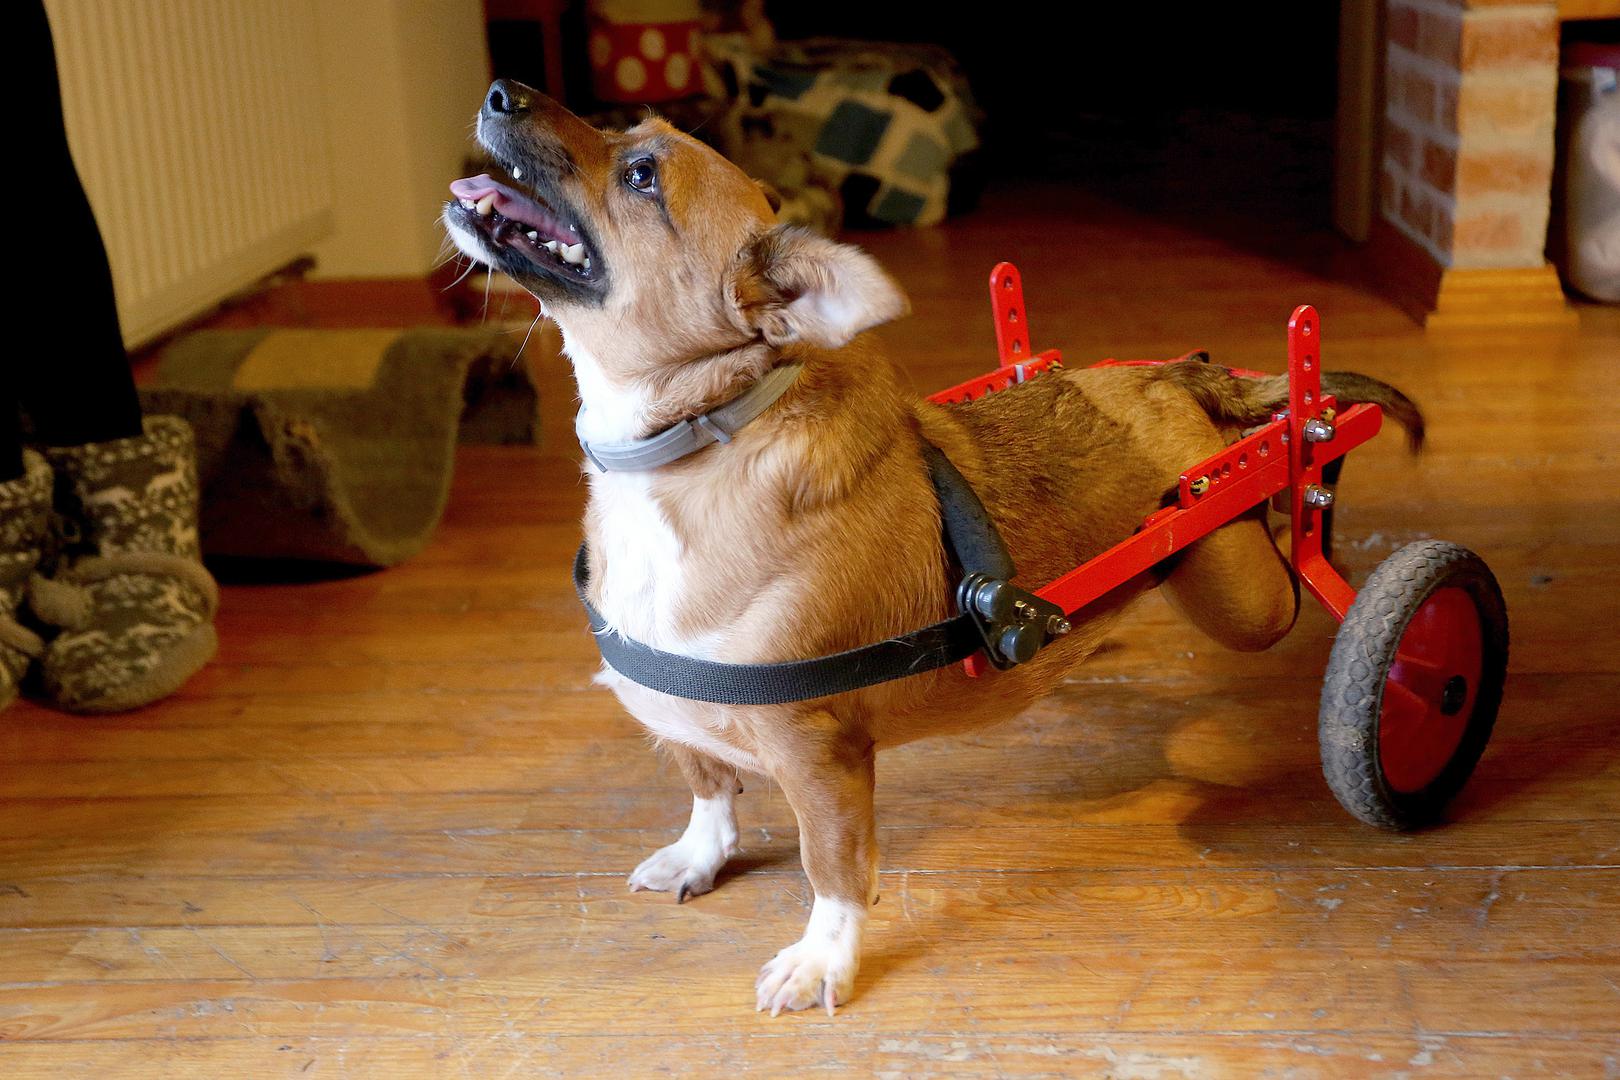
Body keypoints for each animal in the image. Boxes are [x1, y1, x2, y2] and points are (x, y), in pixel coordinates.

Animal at [443, 80, 1424, 1016]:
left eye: (642, 174)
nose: (497, 92)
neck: (692, 443)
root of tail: (1172, 377)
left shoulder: (821, 756)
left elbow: (835, 869)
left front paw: (824, 962)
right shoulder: (688, 714)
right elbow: (708, 785)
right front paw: (700, 855)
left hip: (1237, 590)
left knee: (1297, 547)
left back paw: (1317, 488)